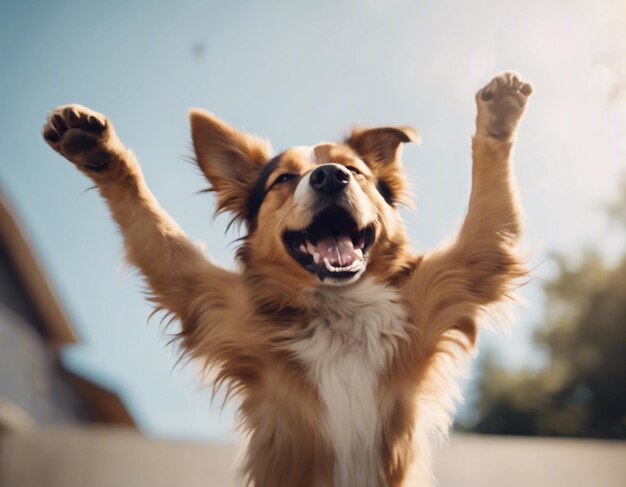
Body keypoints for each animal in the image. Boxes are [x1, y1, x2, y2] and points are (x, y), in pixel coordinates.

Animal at [42, 73, 532, 487]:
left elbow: (487, 228)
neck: (340, 309)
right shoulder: (212, 301)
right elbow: (151, 225)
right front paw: (96, 147)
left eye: (355, 171)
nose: (330, 176)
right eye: (285, 178)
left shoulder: (457, 277)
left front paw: (499, 115)